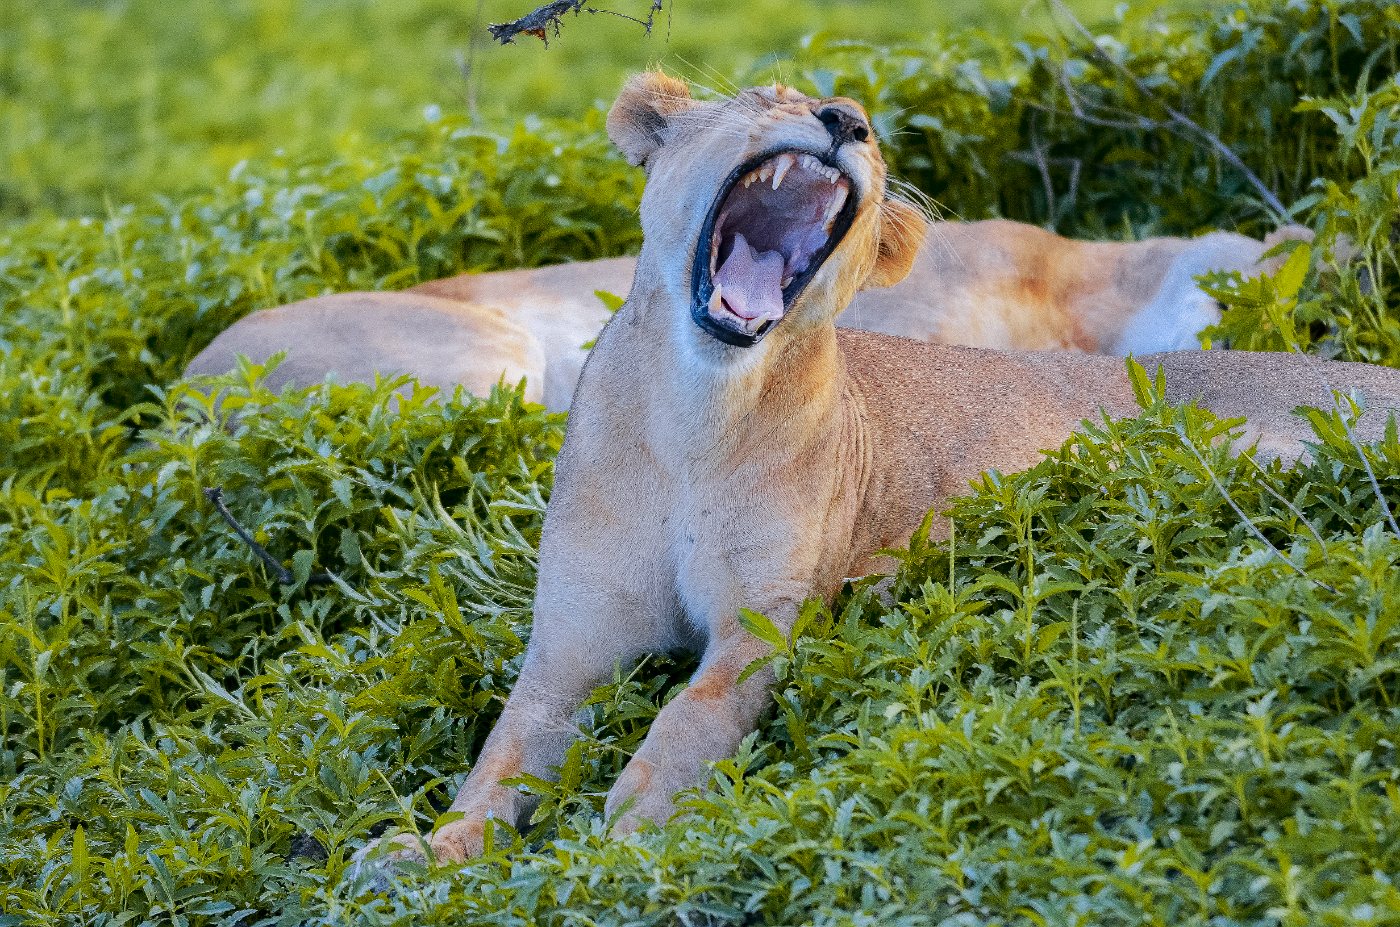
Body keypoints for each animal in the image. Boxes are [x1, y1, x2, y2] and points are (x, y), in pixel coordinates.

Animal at [353, 74, 1400, 868]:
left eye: (870, 131)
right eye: (769, 96)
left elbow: (696, 712)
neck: (695, 415)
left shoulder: (767, 616)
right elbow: (497, 761)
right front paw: (418, 853)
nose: (845, 121)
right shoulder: (568, 649)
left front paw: (637, 820)